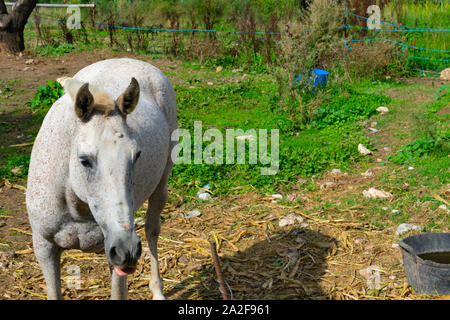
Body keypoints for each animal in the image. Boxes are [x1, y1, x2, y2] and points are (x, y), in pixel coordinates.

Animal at [25, 58, 178, 300]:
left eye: (137, 155)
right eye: (85, 160)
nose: (128, 250)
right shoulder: (44, 247)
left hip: (161, 185)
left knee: (152, 230)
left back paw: (157, 290)